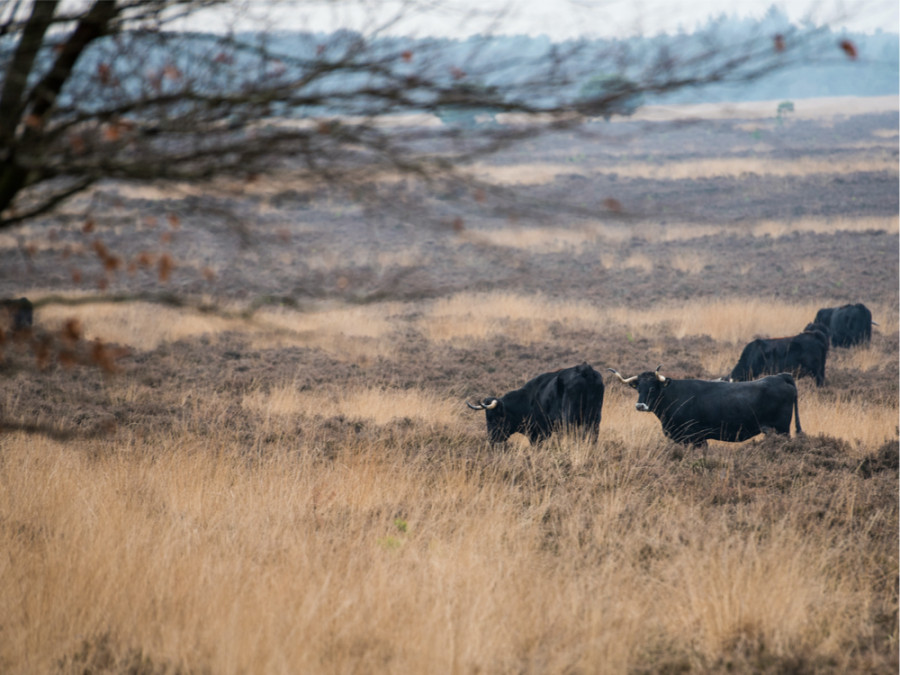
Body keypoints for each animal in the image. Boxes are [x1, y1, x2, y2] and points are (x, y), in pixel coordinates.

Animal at [464, 362, 604, 446]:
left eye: (495, 417)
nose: (491, 441)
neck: (528, 400)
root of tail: (585, 370)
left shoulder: (538, 433)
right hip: (595, 418)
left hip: (570, 419)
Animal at [608, 368, 800, 446]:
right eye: (638, 388)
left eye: (653, 388)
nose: (640, 405)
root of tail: (781, 376)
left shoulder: (693, 438)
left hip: (782, 429)